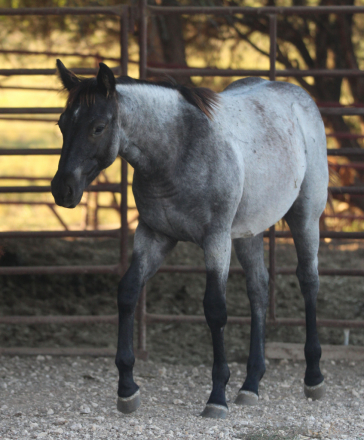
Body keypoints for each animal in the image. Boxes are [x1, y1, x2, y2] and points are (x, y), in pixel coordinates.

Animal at [50, 59, 328, 420]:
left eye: (98, 127)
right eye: (62, 124)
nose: (62, 190)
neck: (178, 151)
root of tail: (299, 96)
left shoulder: (216, 240)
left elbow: (215, 309)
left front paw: (217, 396)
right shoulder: (154, 236)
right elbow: (127, 292)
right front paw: (127, 389)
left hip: (304, 217)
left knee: (308, 281)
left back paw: (314, 378)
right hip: (249, 233)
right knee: (259, 289)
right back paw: (250, 384)